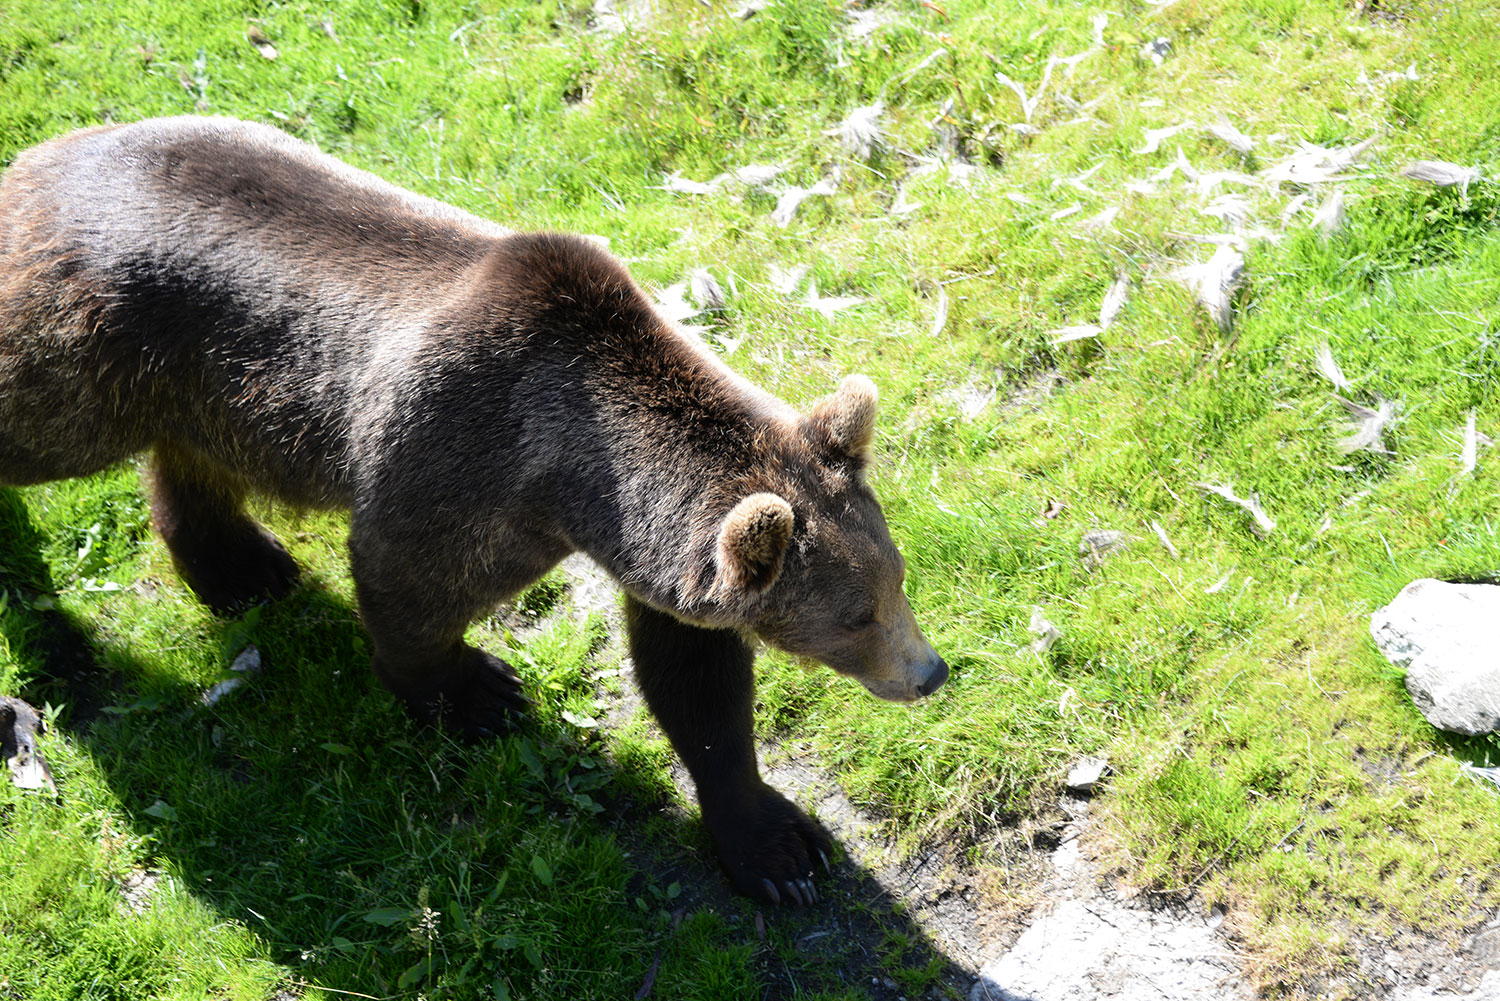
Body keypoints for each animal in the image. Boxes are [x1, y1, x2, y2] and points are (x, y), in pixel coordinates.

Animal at [0, 117, 948, 906]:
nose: (929, 672)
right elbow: (408, 585)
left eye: (898, 578)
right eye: (855, 615)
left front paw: (779, 845)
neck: (572, 476)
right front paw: (479, 691)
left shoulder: (665, 564)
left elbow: (697, 683)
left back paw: (245, 567)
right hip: (84, 348)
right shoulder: (459, 458)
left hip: (194, 383)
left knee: (190, 464)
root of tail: (34, 161)